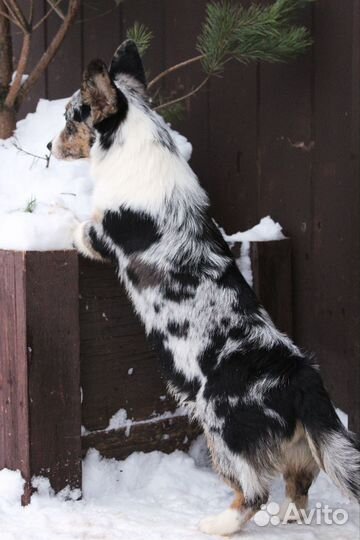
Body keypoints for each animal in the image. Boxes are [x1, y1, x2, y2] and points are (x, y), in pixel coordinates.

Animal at [51, 41, 360, 536]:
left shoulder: (99, 235)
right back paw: (288, 517)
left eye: (70, 117)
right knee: (298, 487)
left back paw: (218, 523)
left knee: (252, 490)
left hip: (222, 427)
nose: (47, 146)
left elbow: (76, 223)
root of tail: (301, 378)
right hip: (298, 448)